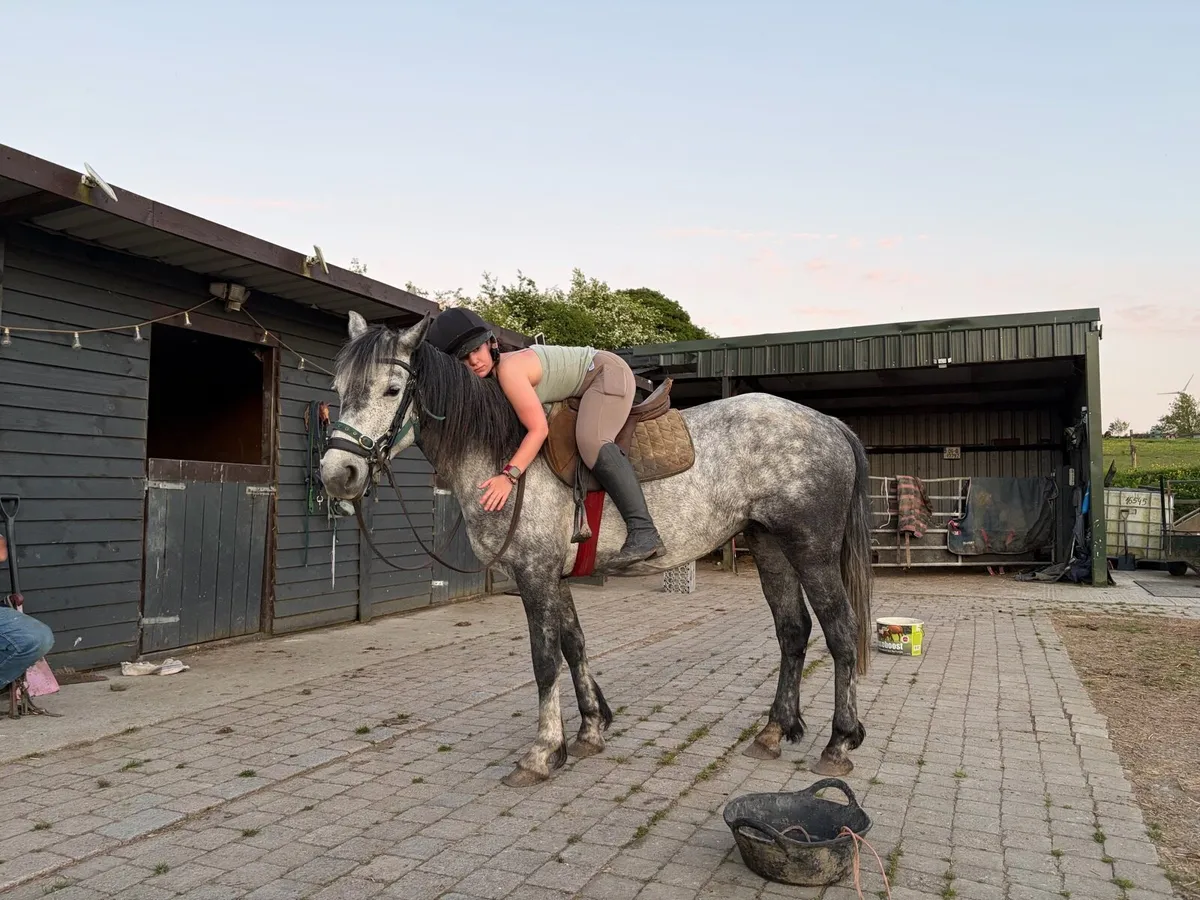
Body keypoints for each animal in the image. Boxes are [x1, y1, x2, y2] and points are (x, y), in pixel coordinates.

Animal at [319, 311, 874, 787]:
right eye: (338, 391)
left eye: (392, 389)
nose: (337, 474)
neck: (504, 454)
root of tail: (829, 424)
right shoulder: (554, 577)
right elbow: (575, 645)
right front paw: (589, 730)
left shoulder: (534, 575)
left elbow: (545, 659)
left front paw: (543, 752)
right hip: (770, 545)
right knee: (792, 631)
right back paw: (774, 732)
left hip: (812, 550)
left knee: (841, 631)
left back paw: (839, 743)